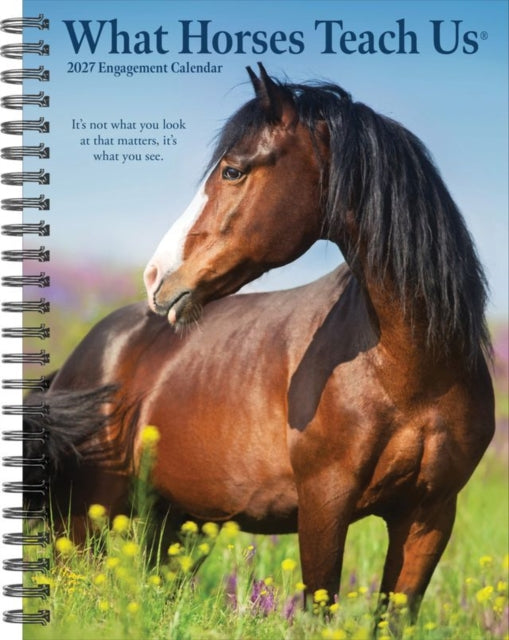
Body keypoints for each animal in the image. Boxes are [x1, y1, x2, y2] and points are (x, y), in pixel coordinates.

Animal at [26, 63, 494, 621]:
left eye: (232, 171)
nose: (156, 276)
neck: (409, 371)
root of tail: (76, 364)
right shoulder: (325, 504)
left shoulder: (429, 516)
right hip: (82, 522)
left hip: (180, 520)